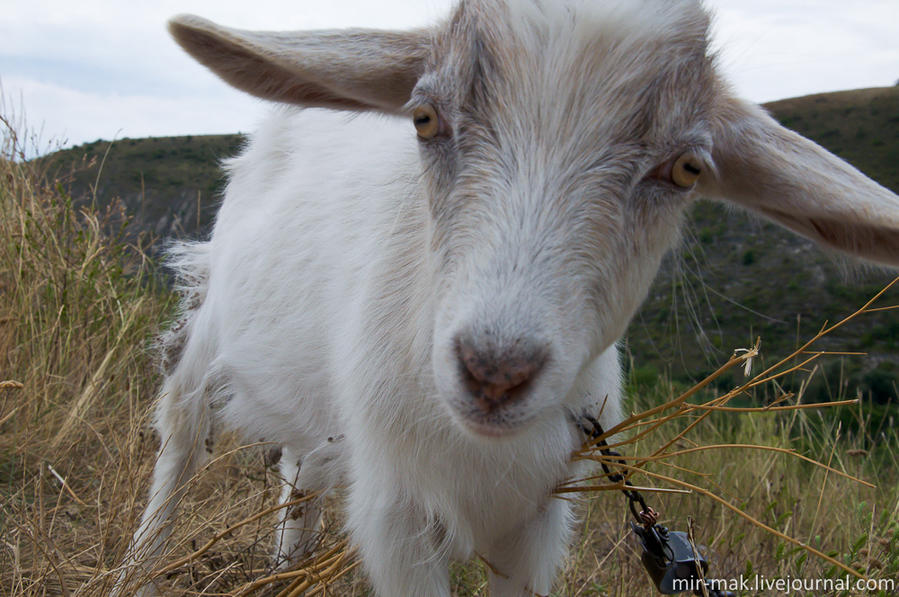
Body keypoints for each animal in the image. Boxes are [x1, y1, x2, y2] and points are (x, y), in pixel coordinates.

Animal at [125, 0, 899, 592]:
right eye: (424, 119)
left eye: (685, 168)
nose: (494, 371)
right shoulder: (397, 515)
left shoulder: (538, 517)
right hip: (210, 330)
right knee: (180, 441)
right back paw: (137, 566)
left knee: (300, 473)